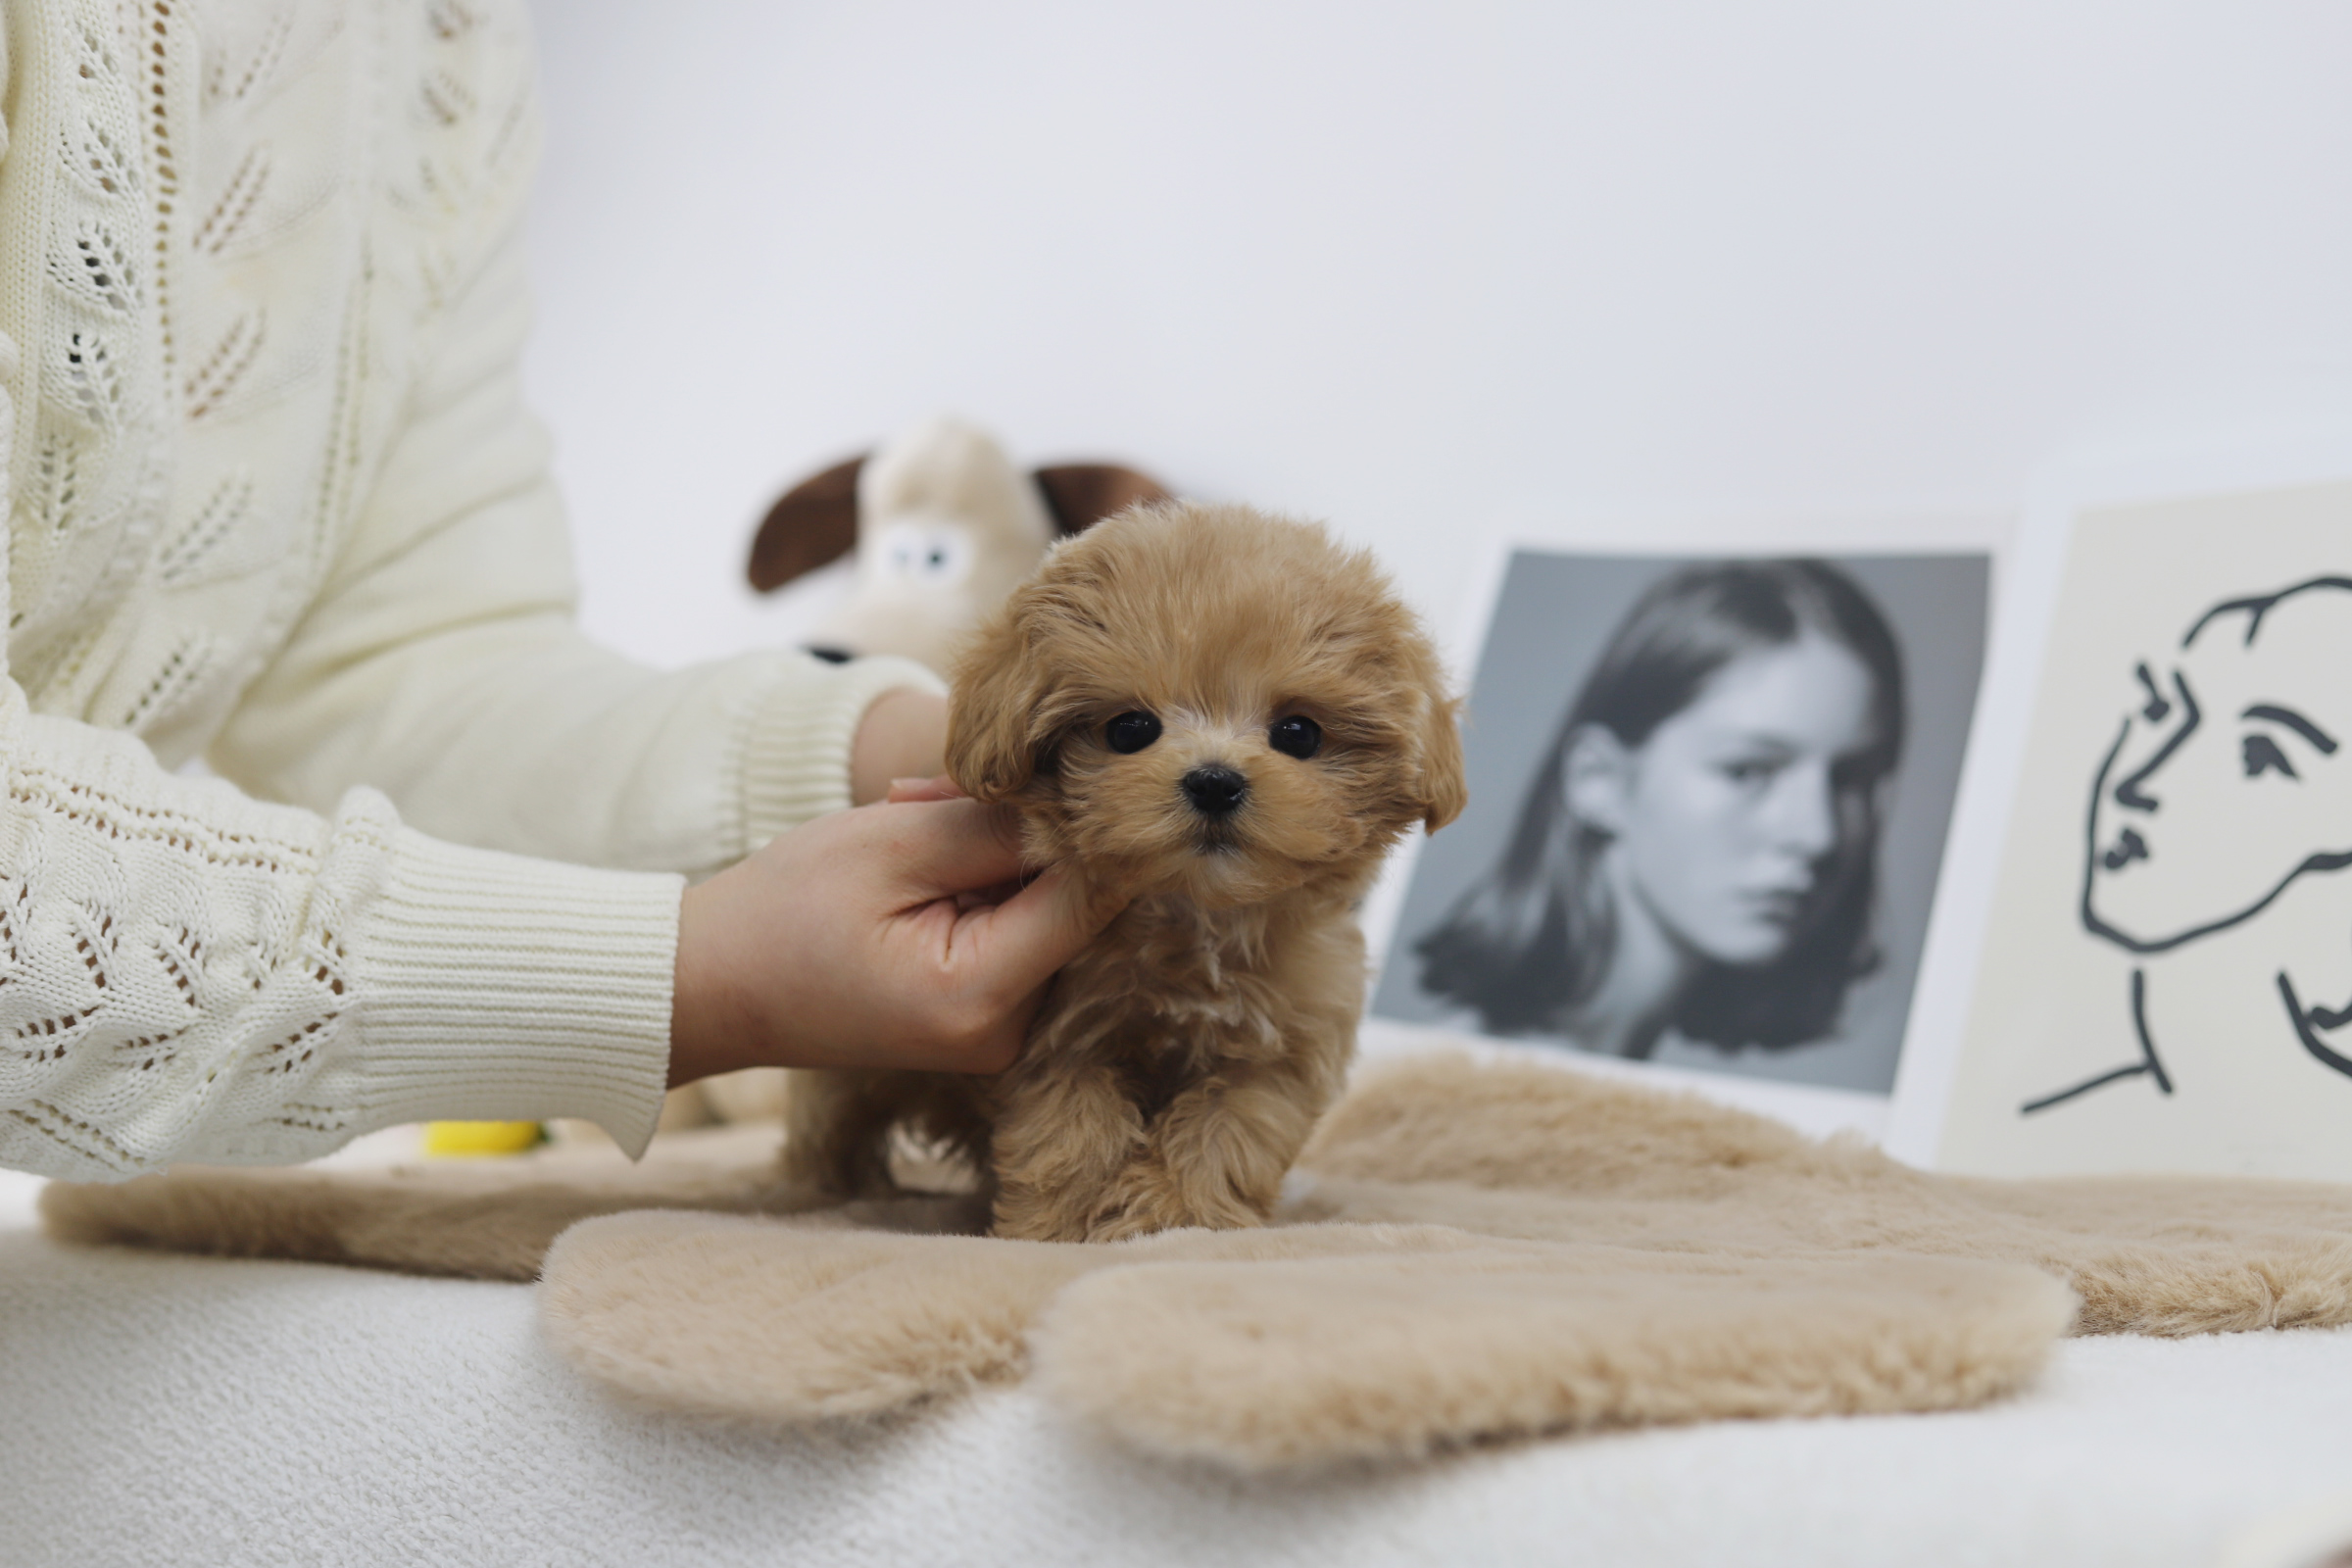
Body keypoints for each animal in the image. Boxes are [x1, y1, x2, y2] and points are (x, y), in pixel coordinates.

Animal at [780, 510, 1458, 1241]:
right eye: (1130, 729)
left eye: (1298, 734)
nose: (1215, 781)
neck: (1196, 914)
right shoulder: (1065, 1039)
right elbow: (1071, 1134)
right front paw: (1060, 1230)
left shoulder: (1279, 1049)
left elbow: (1228, 1130)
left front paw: (1175, 1215)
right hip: (852, 1065)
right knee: (831, 1124)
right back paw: (824, 1189)